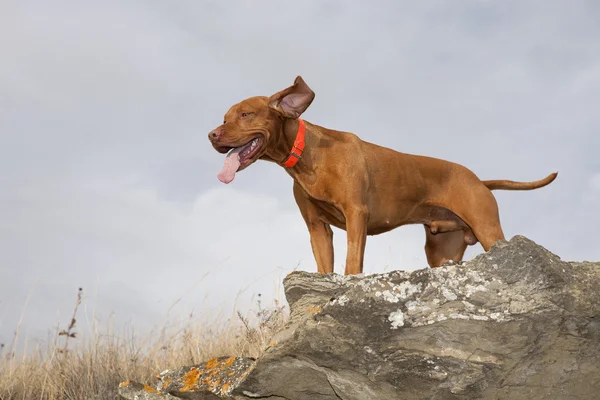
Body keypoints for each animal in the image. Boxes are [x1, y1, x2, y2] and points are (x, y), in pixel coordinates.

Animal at [207, 75, 556, 276]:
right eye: (224, 118)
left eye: (245, 114)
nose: (211, 135)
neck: (307, 156)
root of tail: (478, 180)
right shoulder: (317, 228)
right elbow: (324, 268)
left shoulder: (355, 214)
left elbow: (352, 265)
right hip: (441, 252)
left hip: (488, 229)